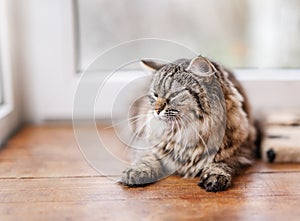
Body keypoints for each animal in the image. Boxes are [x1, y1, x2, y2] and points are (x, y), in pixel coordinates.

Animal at [120, 55, 256, 192]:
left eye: (174, 94)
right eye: (155, 95)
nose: (157, 110)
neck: (186, 133)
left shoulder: (241, 150)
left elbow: (221, 163)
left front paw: (215, 177)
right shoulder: (145, 143)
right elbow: (148, 158)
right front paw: (136, 172)